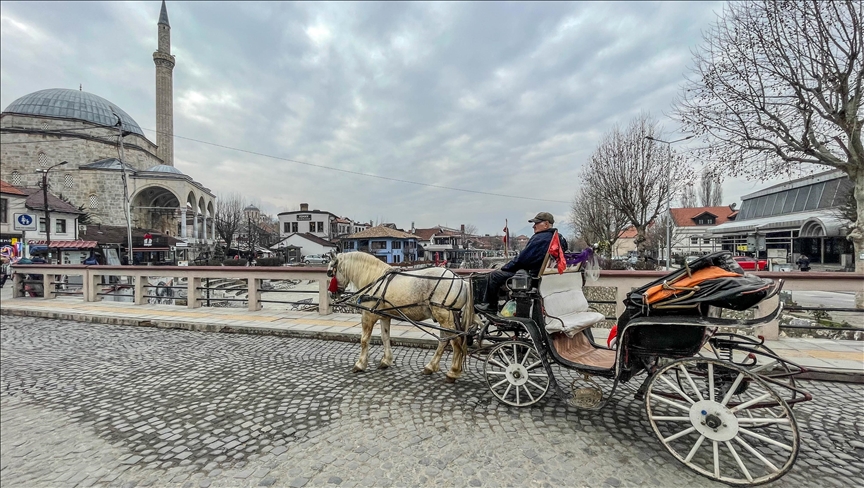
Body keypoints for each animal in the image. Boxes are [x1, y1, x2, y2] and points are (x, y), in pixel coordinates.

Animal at [326, 254, 476, 384]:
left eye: (330, 272)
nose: (331, 294)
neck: (374, 279)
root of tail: (461, 281)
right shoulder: (384, 316)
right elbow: (385, 337)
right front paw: (386, 360)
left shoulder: (368, 315)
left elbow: (364, 340)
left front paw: (360, 364)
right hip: (446, 317)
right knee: (444, 341)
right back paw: (431, 367)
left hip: (444, 316)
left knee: (456, 342)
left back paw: (453, 372)